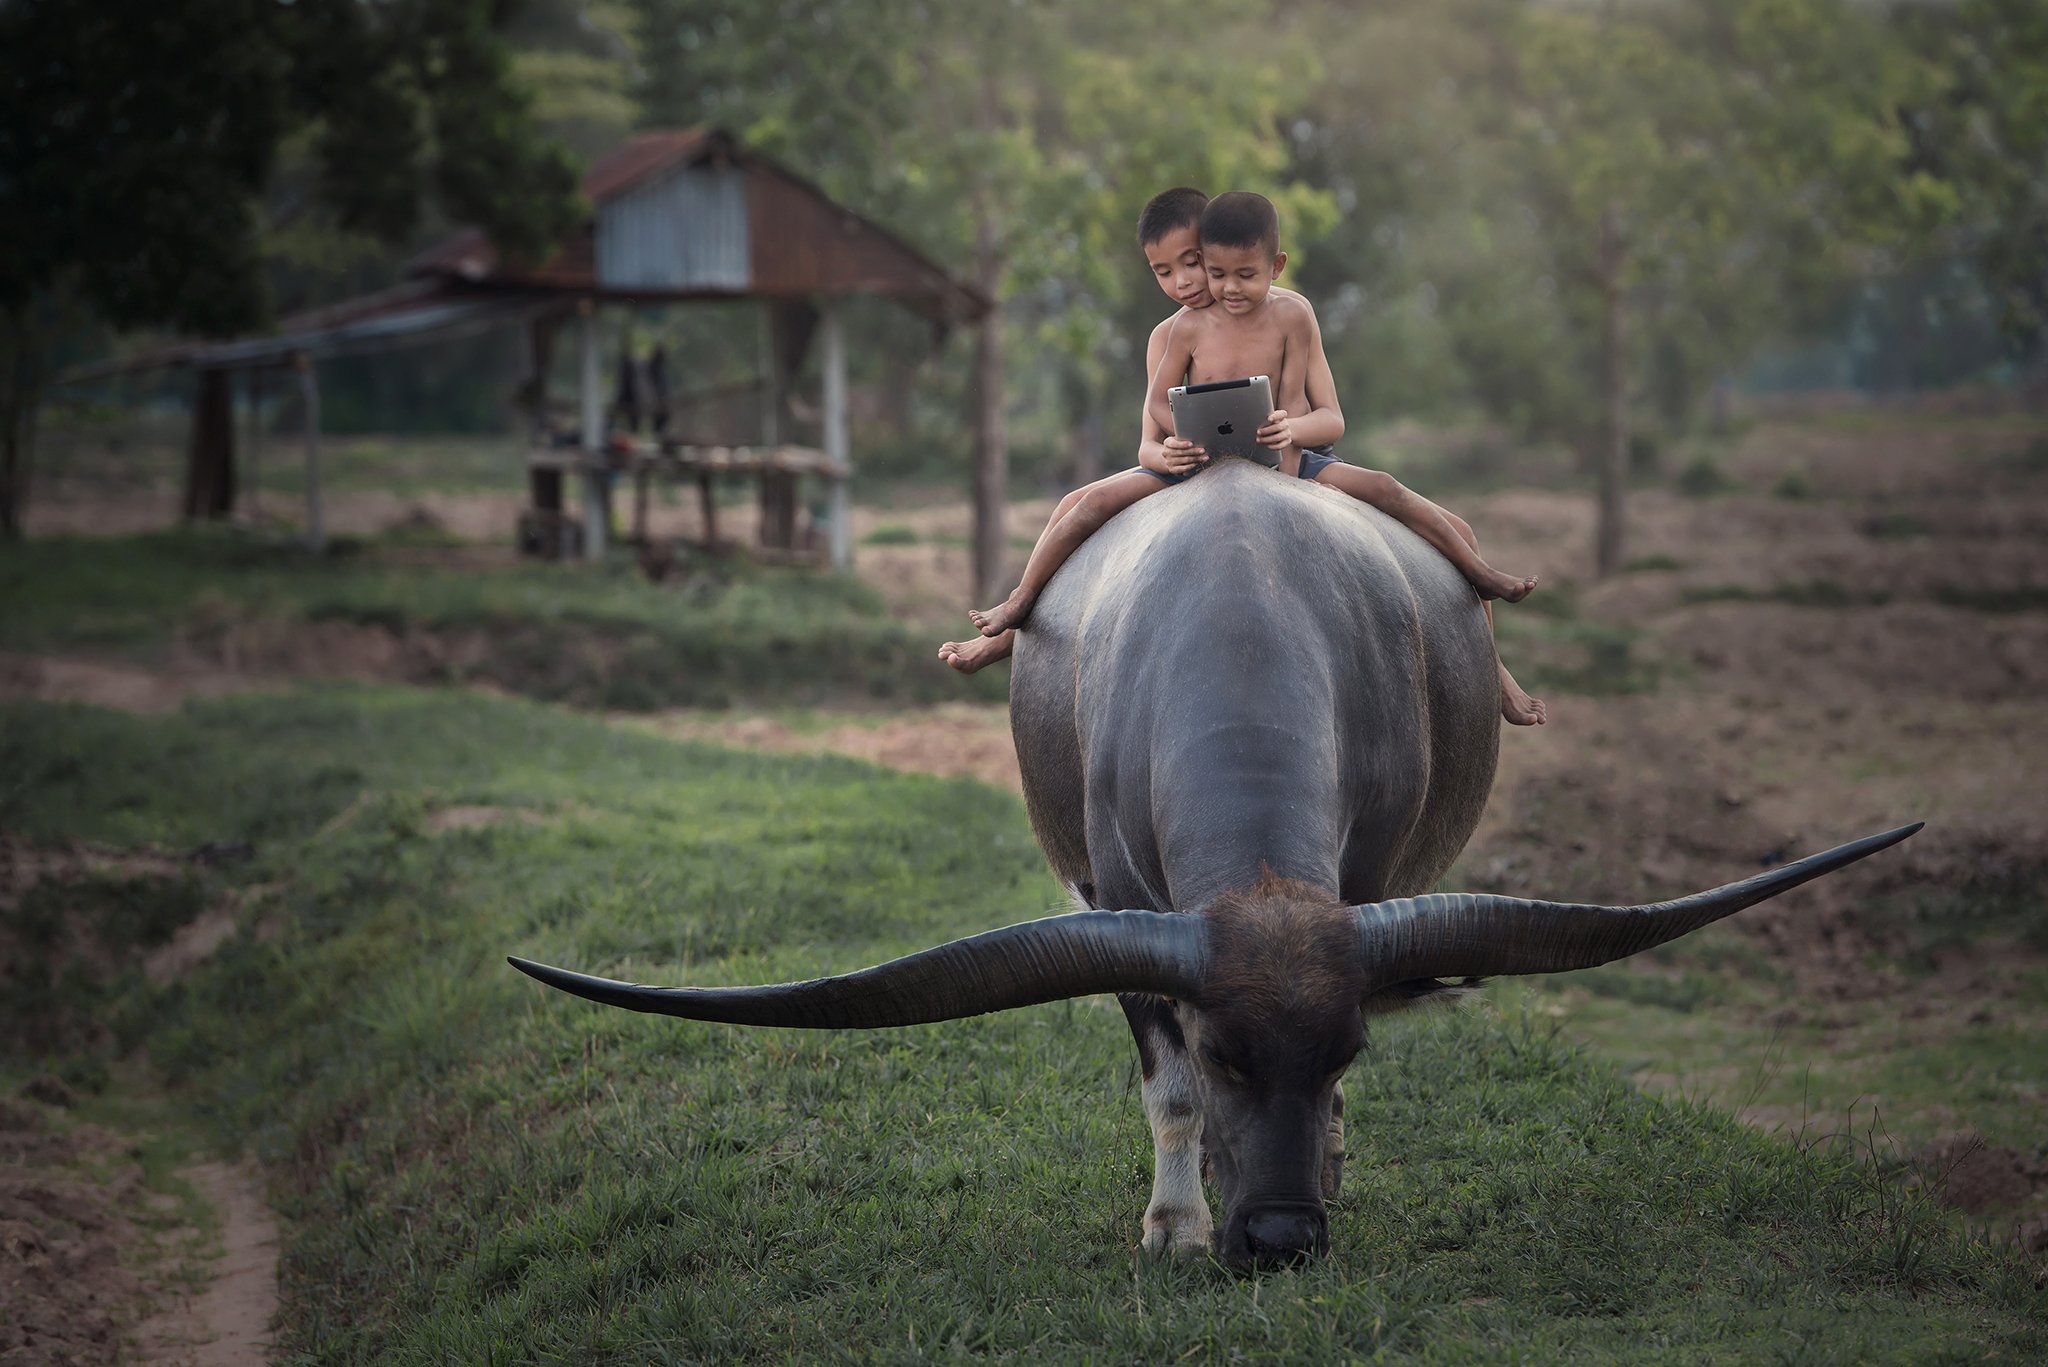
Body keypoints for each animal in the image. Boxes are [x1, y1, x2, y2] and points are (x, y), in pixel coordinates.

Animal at [512, 457, 1916, 1270]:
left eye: (1344, 1047)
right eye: (1227, 1048)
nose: (1283, 1237)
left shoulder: (1360, 893)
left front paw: (1324, 1161)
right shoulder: (1119, 911)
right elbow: (1165, 1091)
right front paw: (1175, 1223)